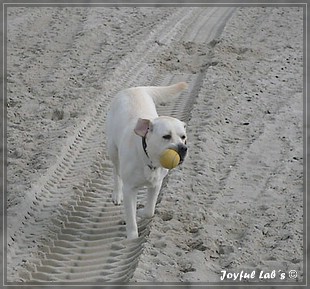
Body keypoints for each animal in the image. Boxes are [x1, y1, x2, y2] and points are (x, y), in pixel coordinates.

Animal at [106, 81, 189, 238]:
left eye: (183, 137)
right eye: (166, 136)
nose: (183, 148)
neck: (149, 160)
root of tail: (134, 89)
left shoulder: (156, 184)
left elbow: (149, 211)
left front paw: (140, 212)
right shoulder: (129, 189)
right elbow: (131, 219)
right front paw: (132, 238)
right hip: (113, 150)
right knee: (116, 172)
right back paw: (117, 194)